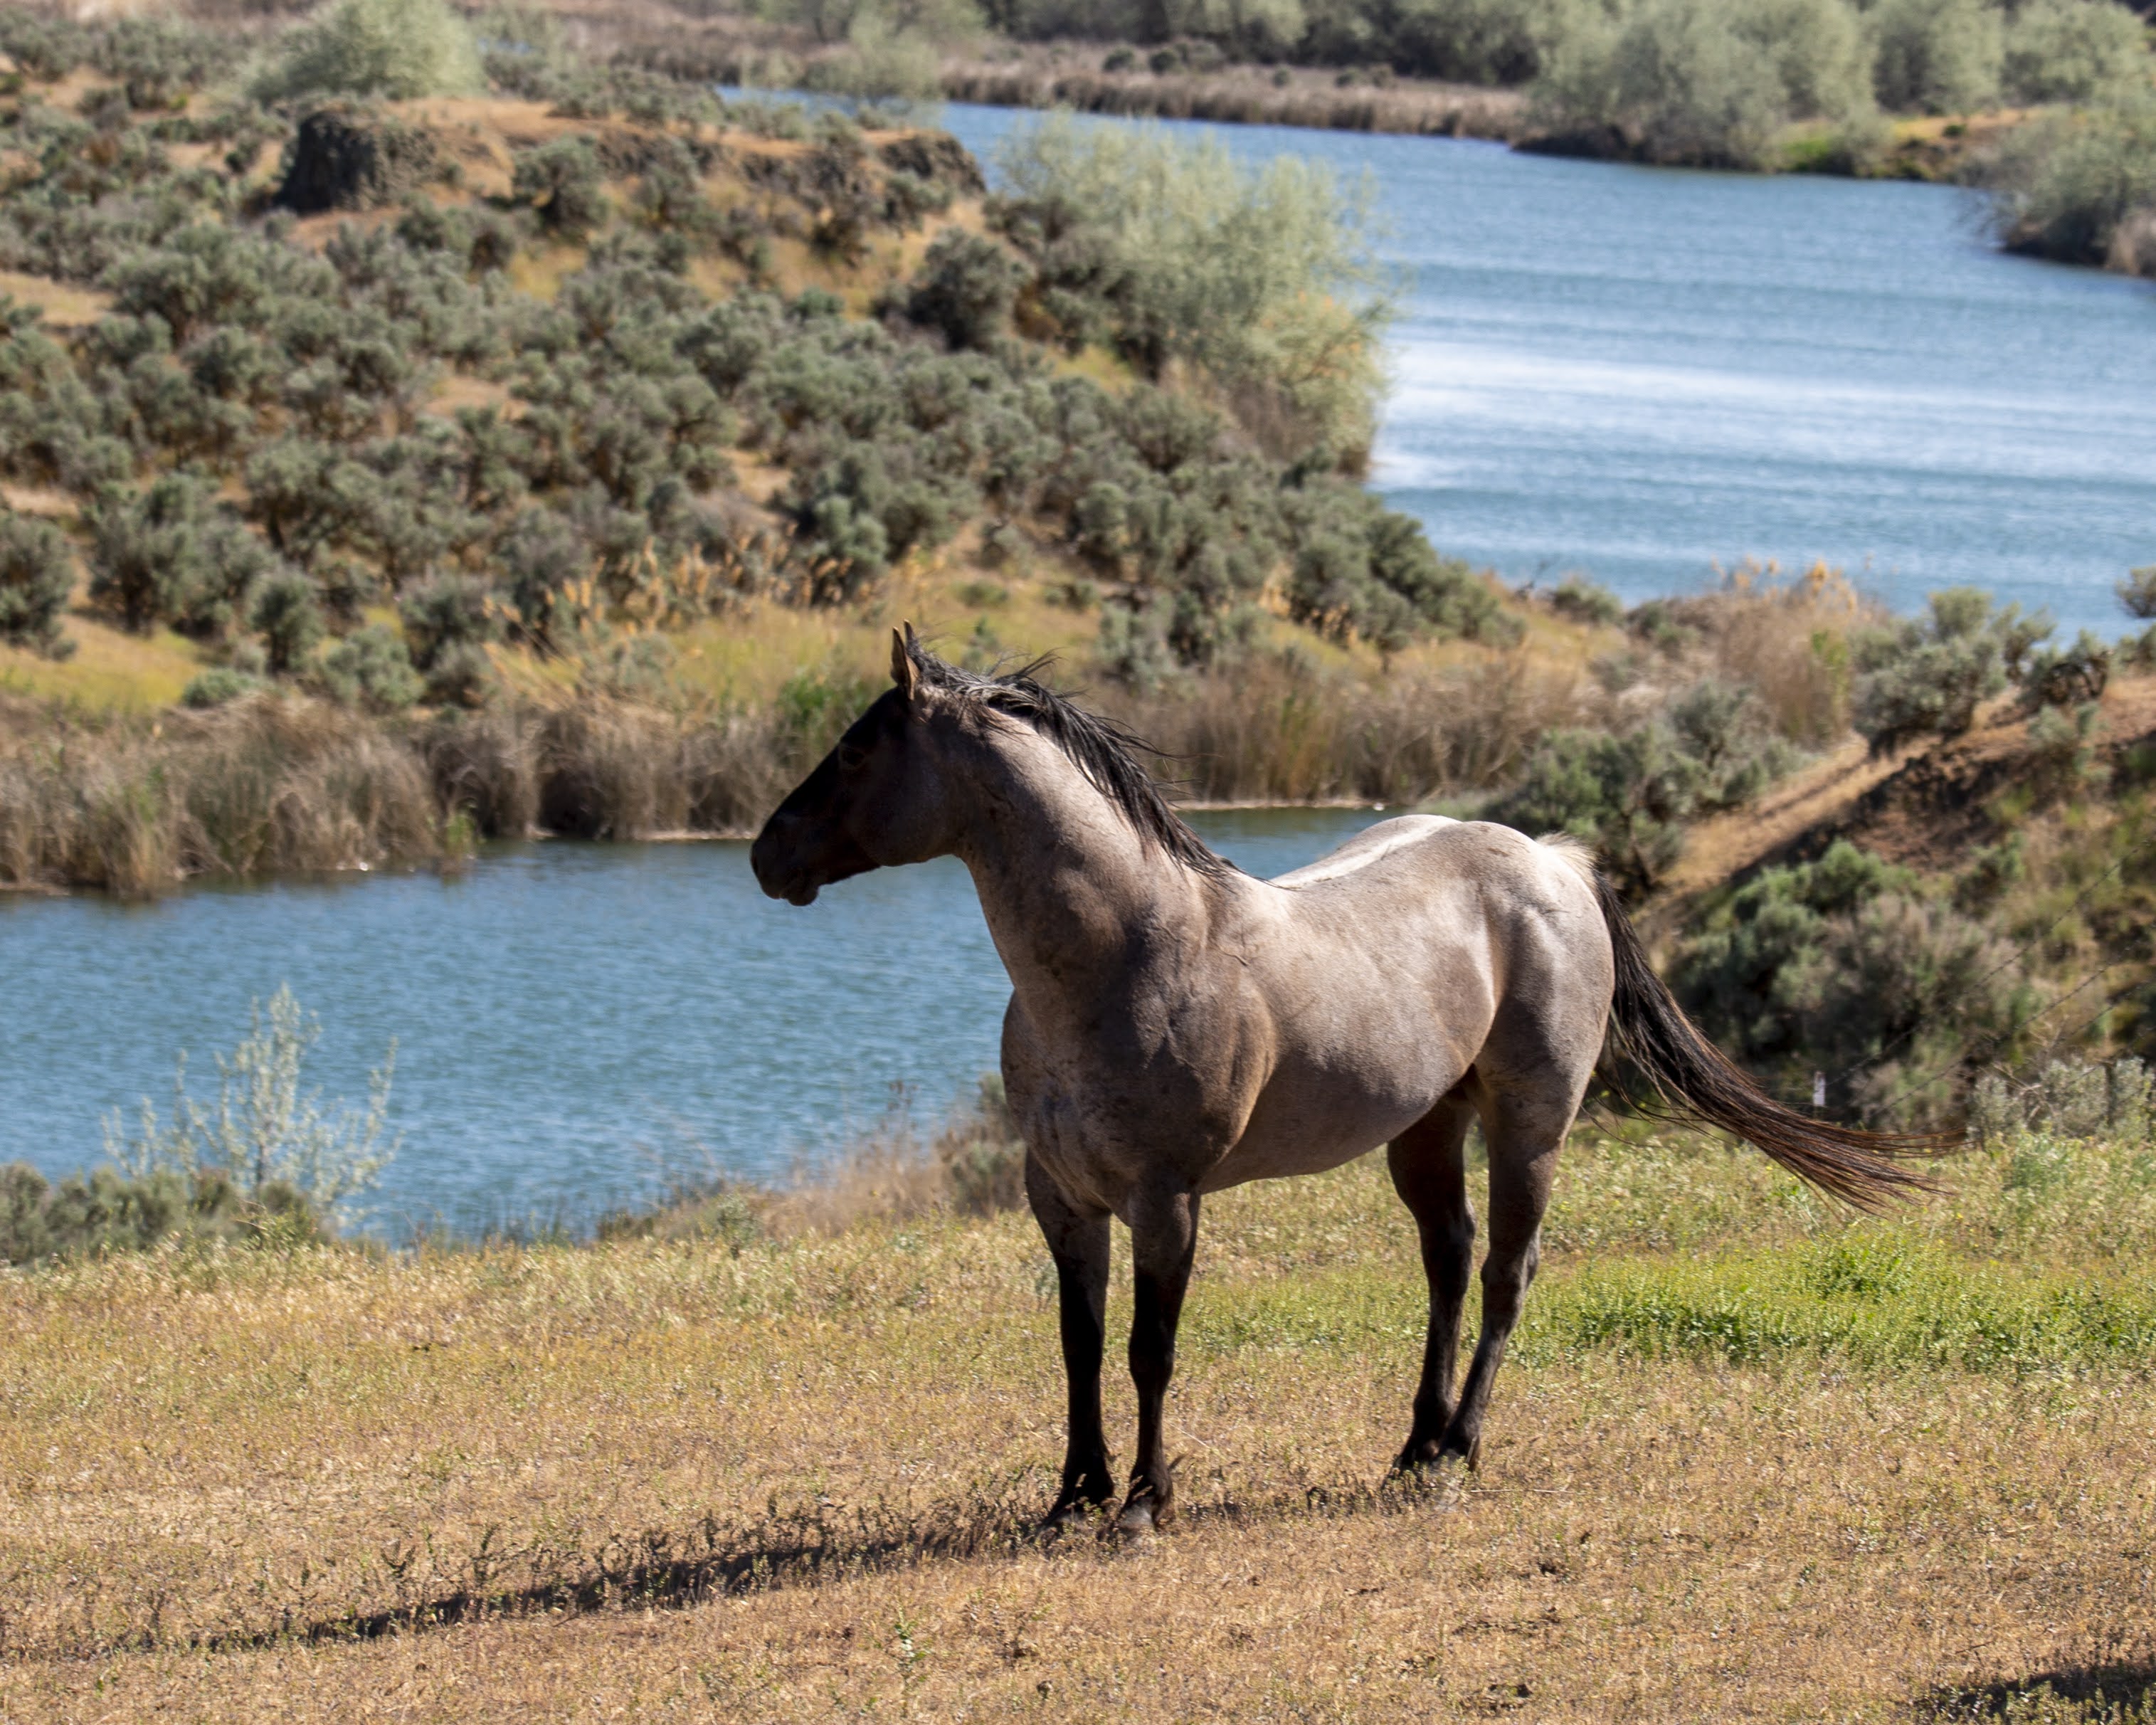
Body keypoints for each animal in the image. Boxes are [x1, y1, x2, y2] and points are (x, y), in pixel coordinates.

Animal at [752, 628, 1938, 1536]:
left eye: (856, 750)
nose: (766, 855)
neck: (1125, 956)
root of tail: (1552, 858)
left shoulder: (1164, 1202)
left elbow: (1147, 1352)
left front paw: (1141, 1505)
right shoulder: (1062, 1199)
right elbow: (1078, 1348)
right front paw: (1071, 1498)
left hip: (1530, 1125)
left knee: (1505, 1273)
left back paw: (1457, 1449)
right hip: (1424, 1129)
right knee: (1448, 1263)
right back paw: (1412, 1445)